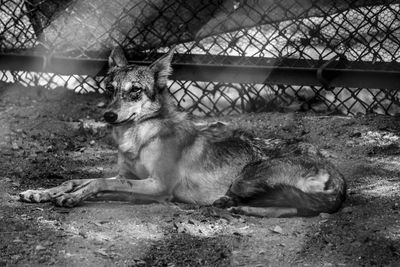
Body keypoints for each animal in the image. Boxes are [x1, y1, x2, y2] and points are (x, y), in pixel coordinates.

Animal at [18, 46, 346, 218]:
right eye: (110, 89)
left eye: (135, 91)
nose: (109, 115)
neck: (138, 138)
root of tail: (338, 175)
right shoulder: (130, 177)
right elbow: (78, 178)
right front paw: (41, 192)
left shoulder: (158, 187)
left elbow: (97, 182)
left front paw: (71, 198)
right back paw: (232, 205)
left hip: (244, 177)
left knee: (300, 209)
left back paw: (234, 207)